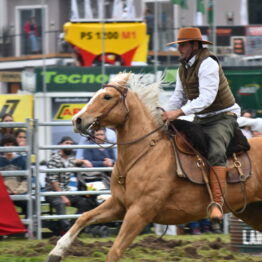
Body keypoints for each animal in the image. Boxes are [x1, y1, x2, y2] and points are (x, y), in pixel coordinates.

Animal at [46, 72, 262, 262]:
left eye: (107, 96)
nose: (77, 120)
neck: (145, 154)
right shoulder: (118, 205)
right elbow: (83, 218)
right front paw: (56, 251)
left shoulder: (139, 212)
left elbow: (114, 251)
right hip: (250, 211)